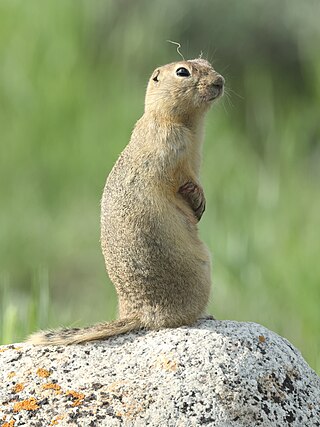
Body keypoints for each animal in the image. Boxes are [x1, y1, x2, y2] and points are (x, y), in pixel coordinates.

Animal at [27, 57, 224, 344]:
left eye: (206, 62)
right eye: (182, 72)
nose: (219, 81)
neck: (188, 124)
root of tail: (138, 314)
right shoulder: (172, 148)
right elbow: (181, 177)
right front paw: (198, 199)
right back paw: (204, 315)